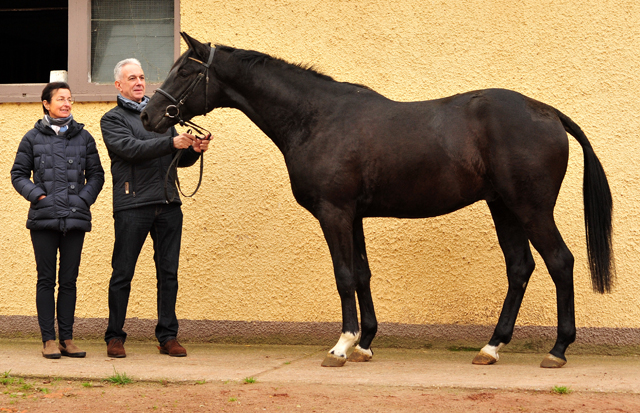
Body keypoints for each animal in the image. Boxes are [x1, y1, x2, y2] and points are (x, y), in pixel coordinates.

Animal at [141, 32, 616, 366]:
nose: (148, 115)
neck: (316, 118)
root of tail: (548, 113)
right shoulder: (354, 216)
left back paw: (557, 349)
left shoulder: (334, 213)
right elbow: (363, 274)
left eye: (186, 72)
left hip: (531, 209)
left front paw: (341, 346)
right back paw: (491, 347)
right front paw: (365, 343)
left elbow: (344, 276)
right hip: (504, 208)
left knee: (560, 262)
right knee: (520, 268)